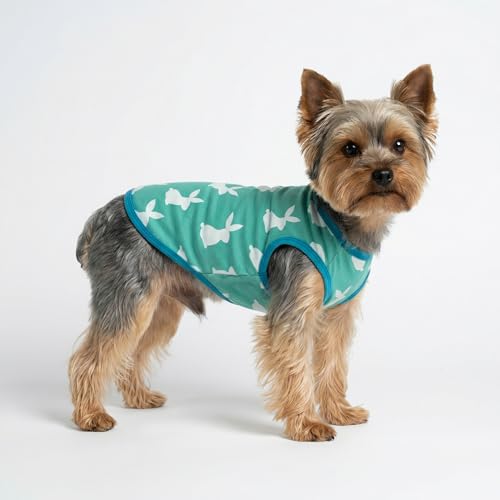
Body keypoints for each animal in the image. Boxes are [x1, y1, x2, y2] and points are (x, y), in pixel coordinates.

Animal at [69, 65, 437, 441]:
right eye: (350, 148)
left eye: (399, 145)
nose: (383, 173)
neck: (340, 223)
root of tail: (102, 214)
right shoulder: (293, 305)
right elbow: (295, 366)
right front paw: (306, 424)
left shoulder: (337, 314)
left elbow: (333, 362)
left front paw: (338, 412)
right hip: (129, 293)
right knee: (89, 357)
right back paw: (90, 416)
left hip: (160, 304)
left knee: (132, 349)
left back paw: (138, 397)